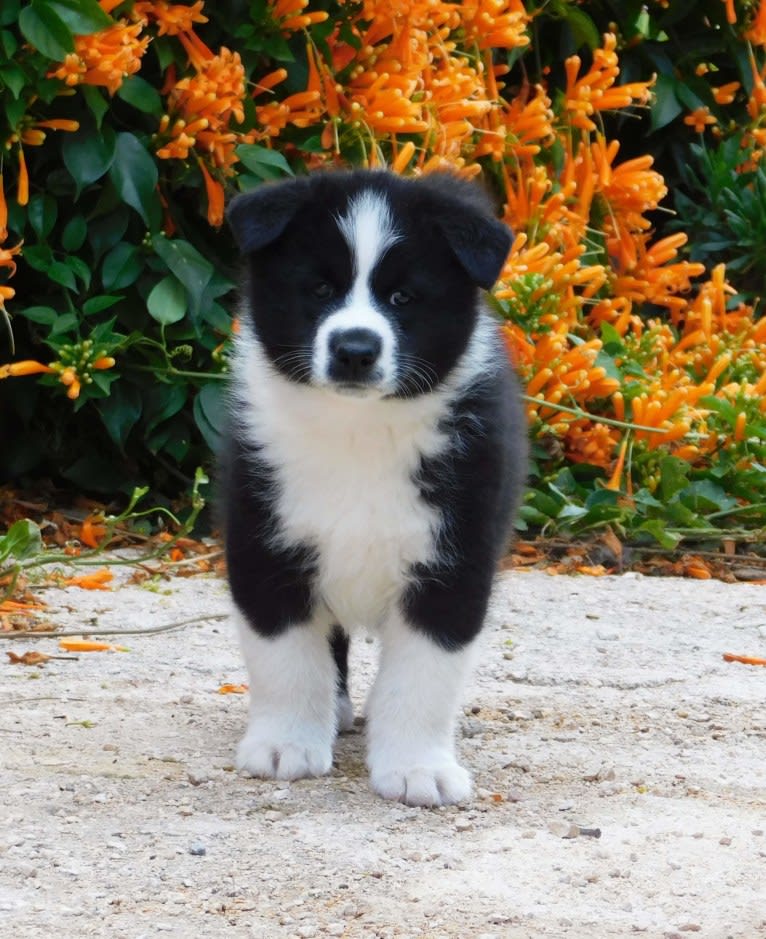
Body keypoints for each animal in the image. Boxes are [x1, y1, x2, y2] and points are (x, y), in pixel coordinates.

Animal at [222, 171, 528, 808]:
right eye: (319, 288)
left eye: (403, 298)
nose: (355, 349)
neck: (357, 427)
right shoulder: (264, 537)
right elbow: (285, 657)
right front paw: (285, 745)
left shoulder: (455, 557)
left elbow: (424, 673)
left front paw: (417, 769)